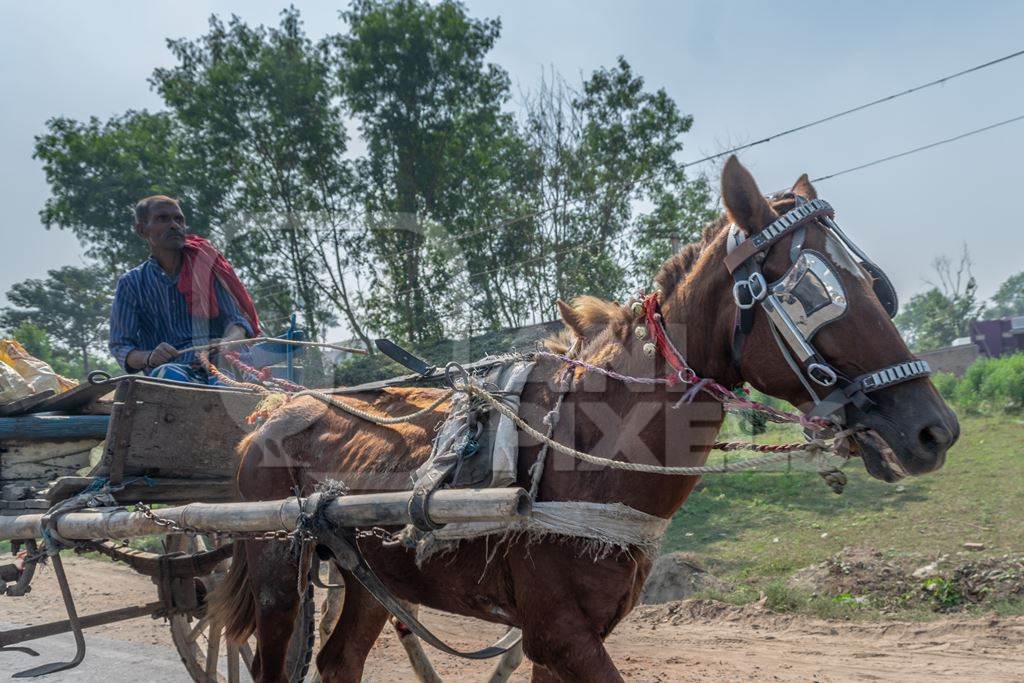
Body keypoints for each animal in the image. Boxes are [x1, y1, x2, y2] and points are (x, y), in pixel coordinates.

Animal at [207, 157, 958, 679]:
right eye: (811, 293)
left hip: (371, 573)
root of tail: (270, 413)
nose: (934, 429)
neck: (583, 450)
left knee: (339, 661)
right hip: (275, 568)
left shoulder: (563, 638)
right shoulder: (561, 633)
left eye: (877, 286)